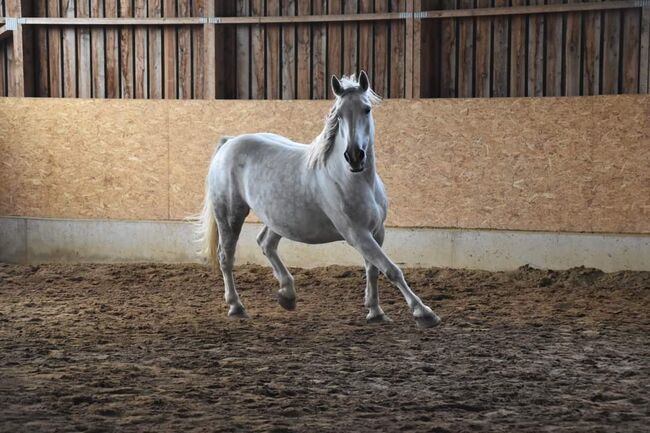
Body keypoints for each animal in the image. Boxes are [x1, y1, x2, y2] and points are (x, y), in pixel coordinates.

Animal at [197, 71, 440, 328]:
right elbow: (391, 269)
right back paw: (236, 306)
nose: (354, 156)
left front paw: (375, 312)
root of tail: (229, 142)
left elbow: (373, 269)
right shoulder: (357, 234)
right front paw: (424, 313)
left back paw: (287, 295)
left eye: (366, 109)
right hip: (230, 215)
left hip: (279, 220)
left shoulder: (377, 231)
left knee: (265, 243)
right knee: (226, 257)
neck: (353, 179)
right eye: (339, 114)